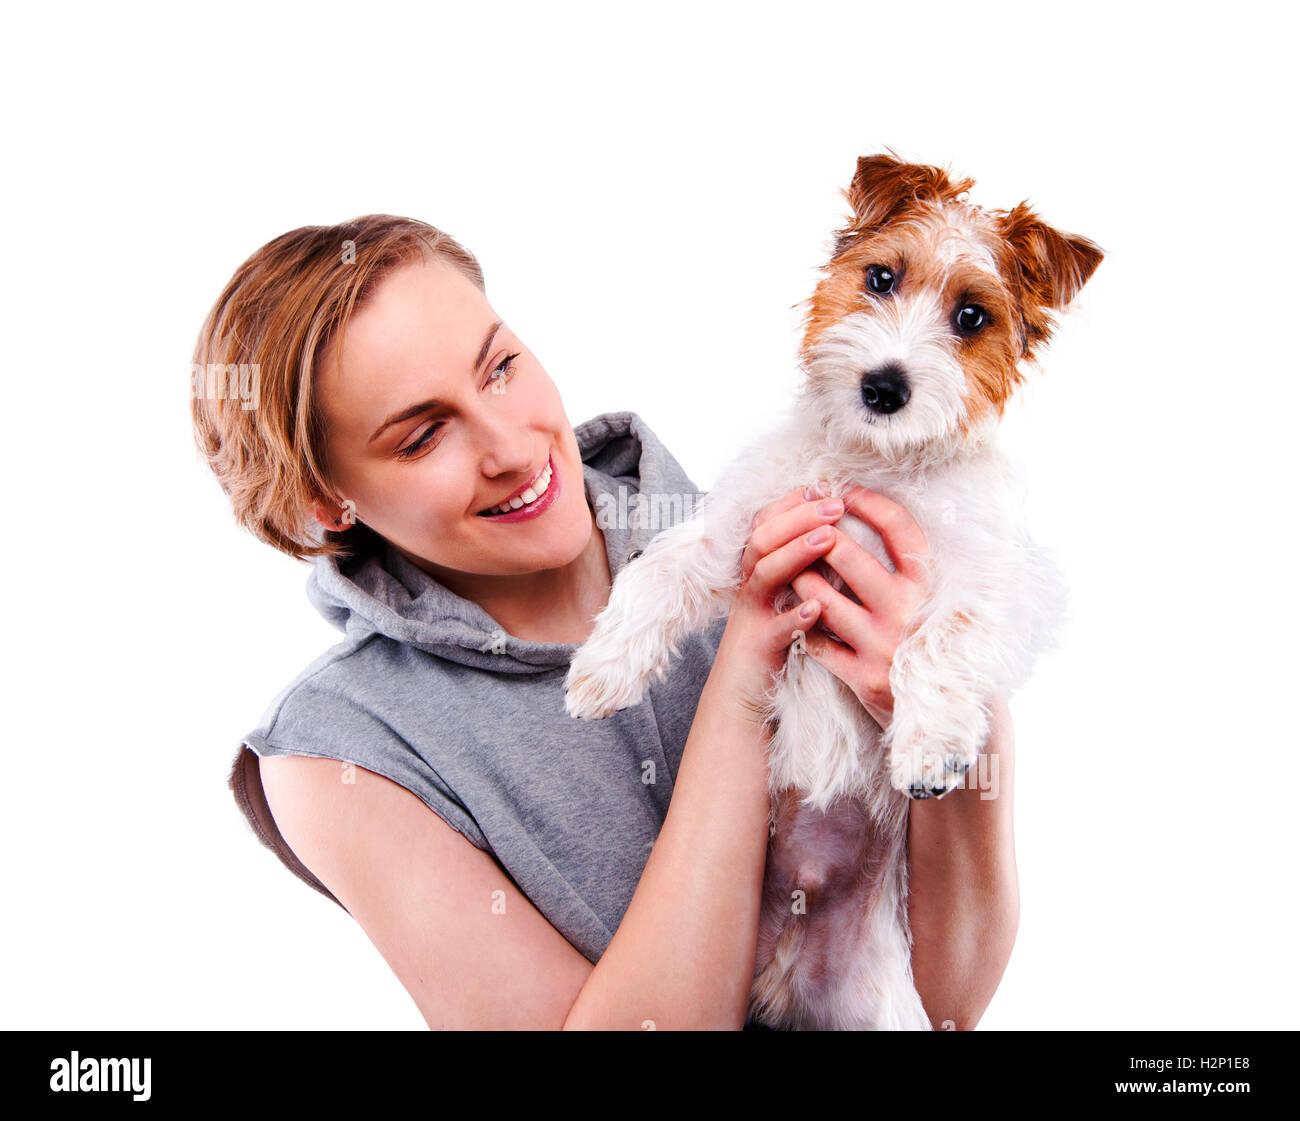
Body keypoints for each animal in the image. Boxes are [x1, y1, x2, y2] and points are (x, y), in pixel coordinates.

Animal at [564, 153, 1102, 1029]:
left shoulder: (1001, 578)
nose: (884, 386)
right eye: (881, 277)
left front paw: (927, 745)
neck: (875, 463)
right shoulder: (748, 525)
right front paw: (601, 669)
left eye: (971, 317)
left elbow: (937, 638)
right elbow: (660, 568)